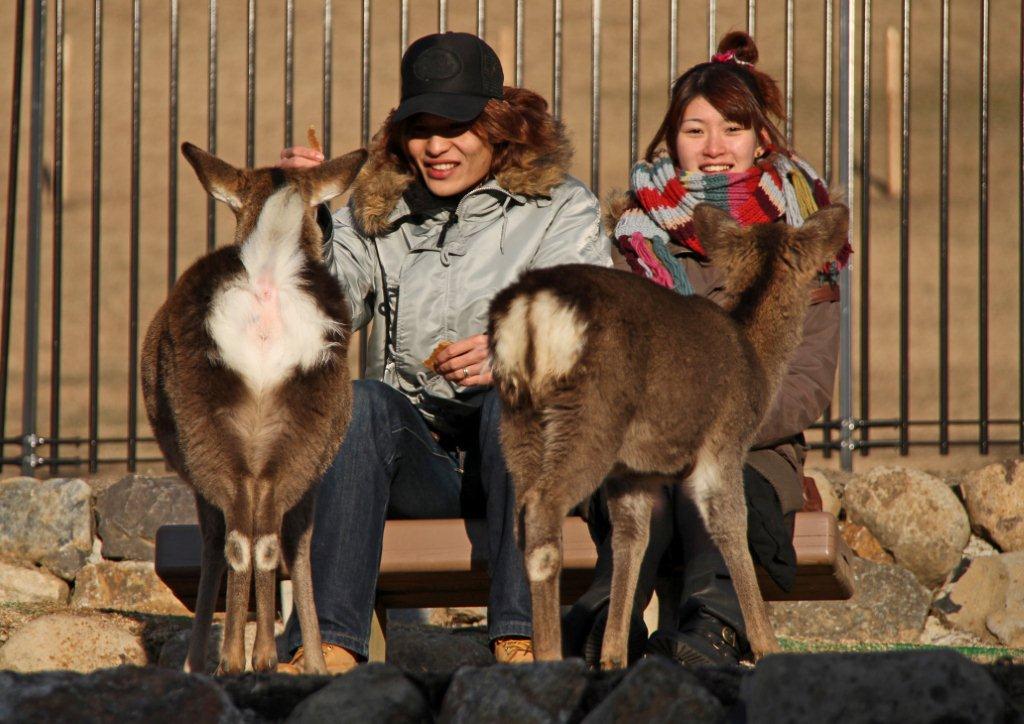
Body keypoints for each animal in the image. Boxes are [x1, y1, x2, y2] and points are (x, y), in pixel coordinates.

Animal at [141, 141, 368, 675]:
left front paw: (195, 662)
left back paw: (234, 660)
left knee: (241, 539)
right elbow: (295, 545)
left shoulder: (194, 474)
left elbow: (215, 544)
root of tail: (267, 281)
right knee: (268, 538)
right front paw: (310, 662)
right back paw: (264, 658)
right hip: (310, 424)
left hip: (202, 427)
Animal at [487, 202, 847, 667]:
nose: (829, 296)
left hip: (517, 414)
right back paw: (548, 656)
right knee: (543, 509)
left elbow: (631, 541)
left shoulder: (632, 474)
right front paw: (767, 646)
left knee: (521, 516)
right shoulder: (724, 442)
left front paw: (613, 655)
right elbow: (732, 527)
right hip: (592, 414)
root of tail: (532, 306)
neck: (756, 359)